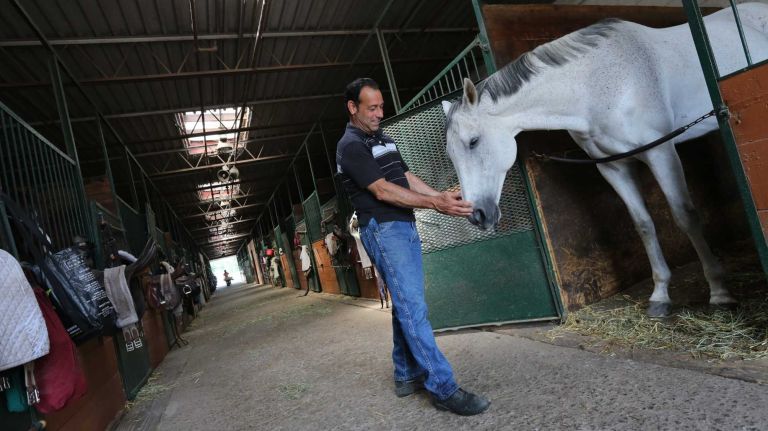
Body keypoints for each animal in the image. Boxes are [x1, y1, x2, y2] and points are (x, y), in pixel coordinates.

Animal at [442, 3, 768, 317]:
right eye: (451, 155)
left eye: (473, 141)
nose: (477, 215)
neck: (597, 87)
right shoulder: (613, 167)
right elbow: (643, 224)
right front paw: (660, 297)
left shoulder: (660, 151)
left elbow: (685, 216)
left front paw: (720, 292)